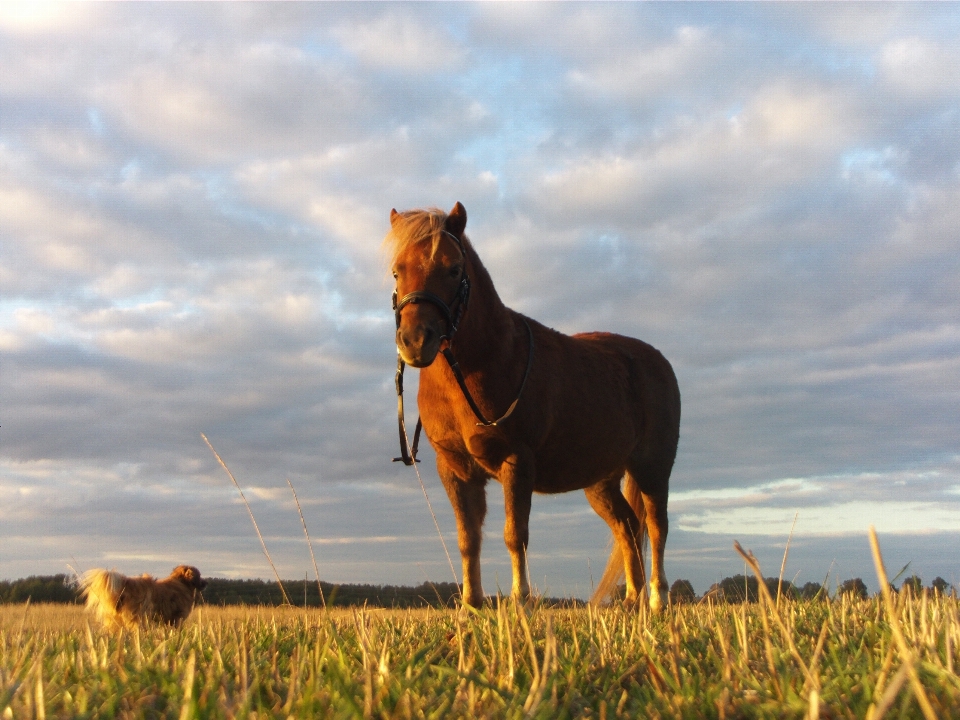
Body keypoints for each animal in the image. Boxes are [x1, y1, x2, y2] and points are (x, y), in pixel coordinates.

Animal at [386, 204, 680, 612]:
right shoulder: (456, 469)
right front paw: (470, 607)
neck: (485, 362)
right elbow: (468, 538)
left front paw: (521, 603)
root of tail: (655, 359)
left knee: (655, 525)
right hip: (601, 481)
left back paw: (657, 598)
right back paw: (632, 600)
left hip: (652, 466)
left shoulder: (516, 462)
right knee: (627, 526)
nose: (415, 341)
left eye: (453, 269)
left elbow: (515, 535)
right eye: (397, 270)